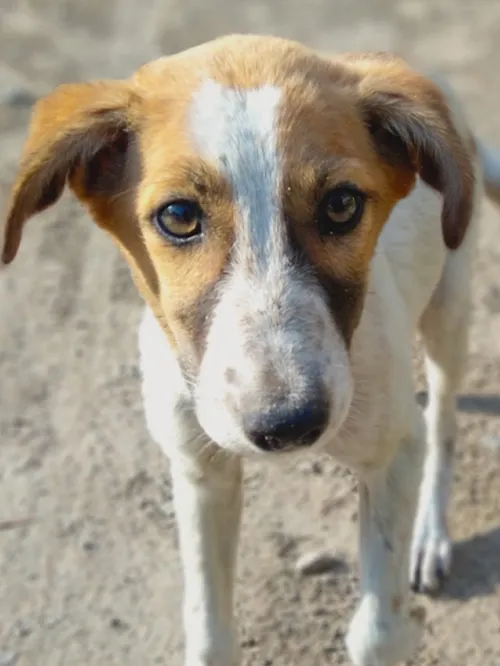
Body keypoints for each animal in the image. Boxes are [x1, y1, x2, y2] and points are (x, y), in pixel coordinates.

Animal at [2, 35, 500, 664]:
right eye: (178, 216)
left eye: (342, 205)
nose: (289, 424)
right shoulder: (199, 471)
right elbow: (210, 632)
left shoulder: (391, 457)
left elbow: (377, 632)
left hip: (449, 310)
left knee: (443, 422)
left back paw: (431, 536)